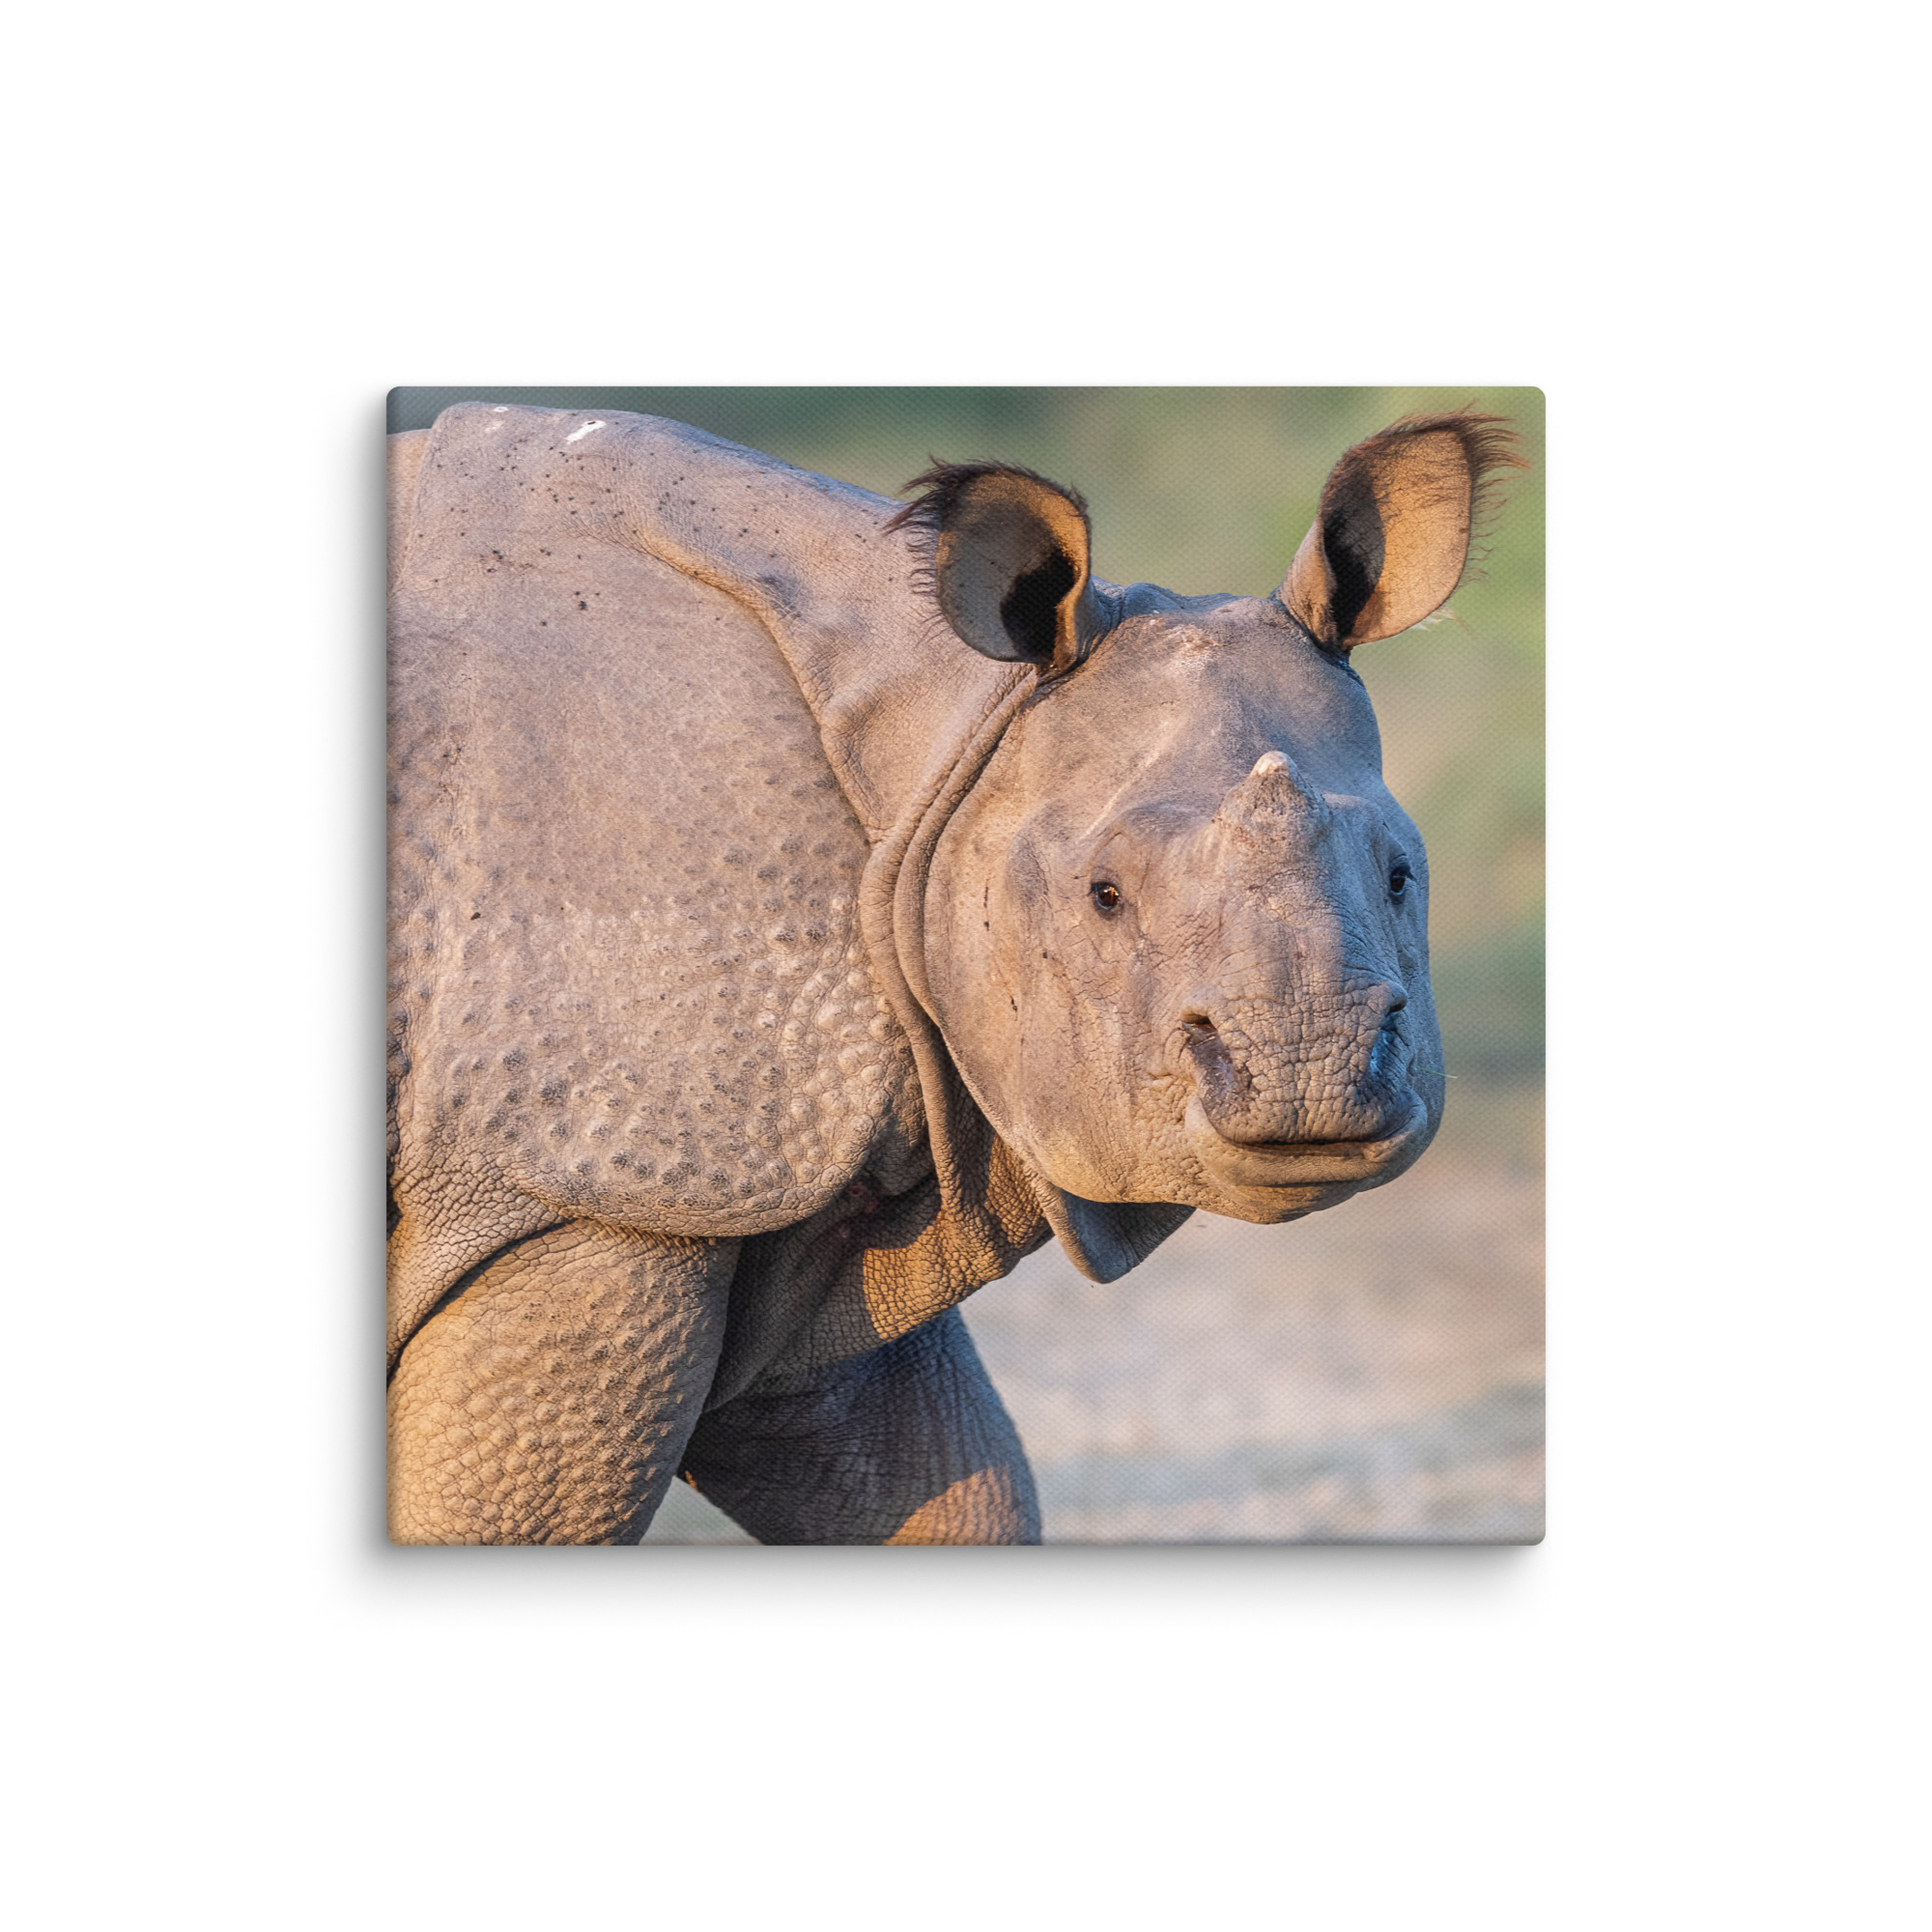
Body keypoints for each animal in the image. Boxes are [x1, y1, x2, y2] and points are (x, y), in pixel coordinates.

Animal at [386, 401, 1522, 1544]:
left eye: (1398, 876)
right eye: (1103, 895)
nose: (1307, 1074)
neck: (952, 740)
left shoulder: (783, 1194)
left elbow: (952, 1487)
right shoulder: (594, 1187)